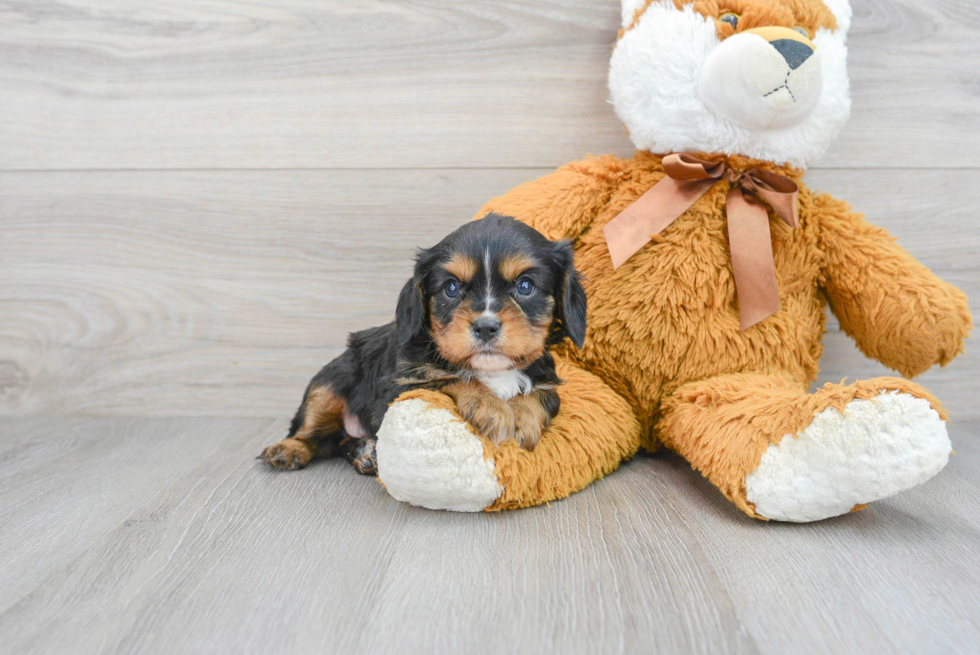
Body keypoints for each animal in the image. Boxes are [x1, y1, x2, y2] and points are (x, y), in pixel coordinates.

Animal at [256, 213, 584, 474]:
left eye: (525, 286)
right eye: (451, 288)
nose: (485, 326)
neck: (491, 371)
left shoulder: (546, 376)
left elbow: (543, 395)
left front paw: (524, 419)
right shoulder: (400, 386)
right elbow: (449, 379)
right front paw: (491, 407)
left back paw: (364, 453)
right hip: (329, 382)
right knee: (312, 433)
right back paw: (288, 450)